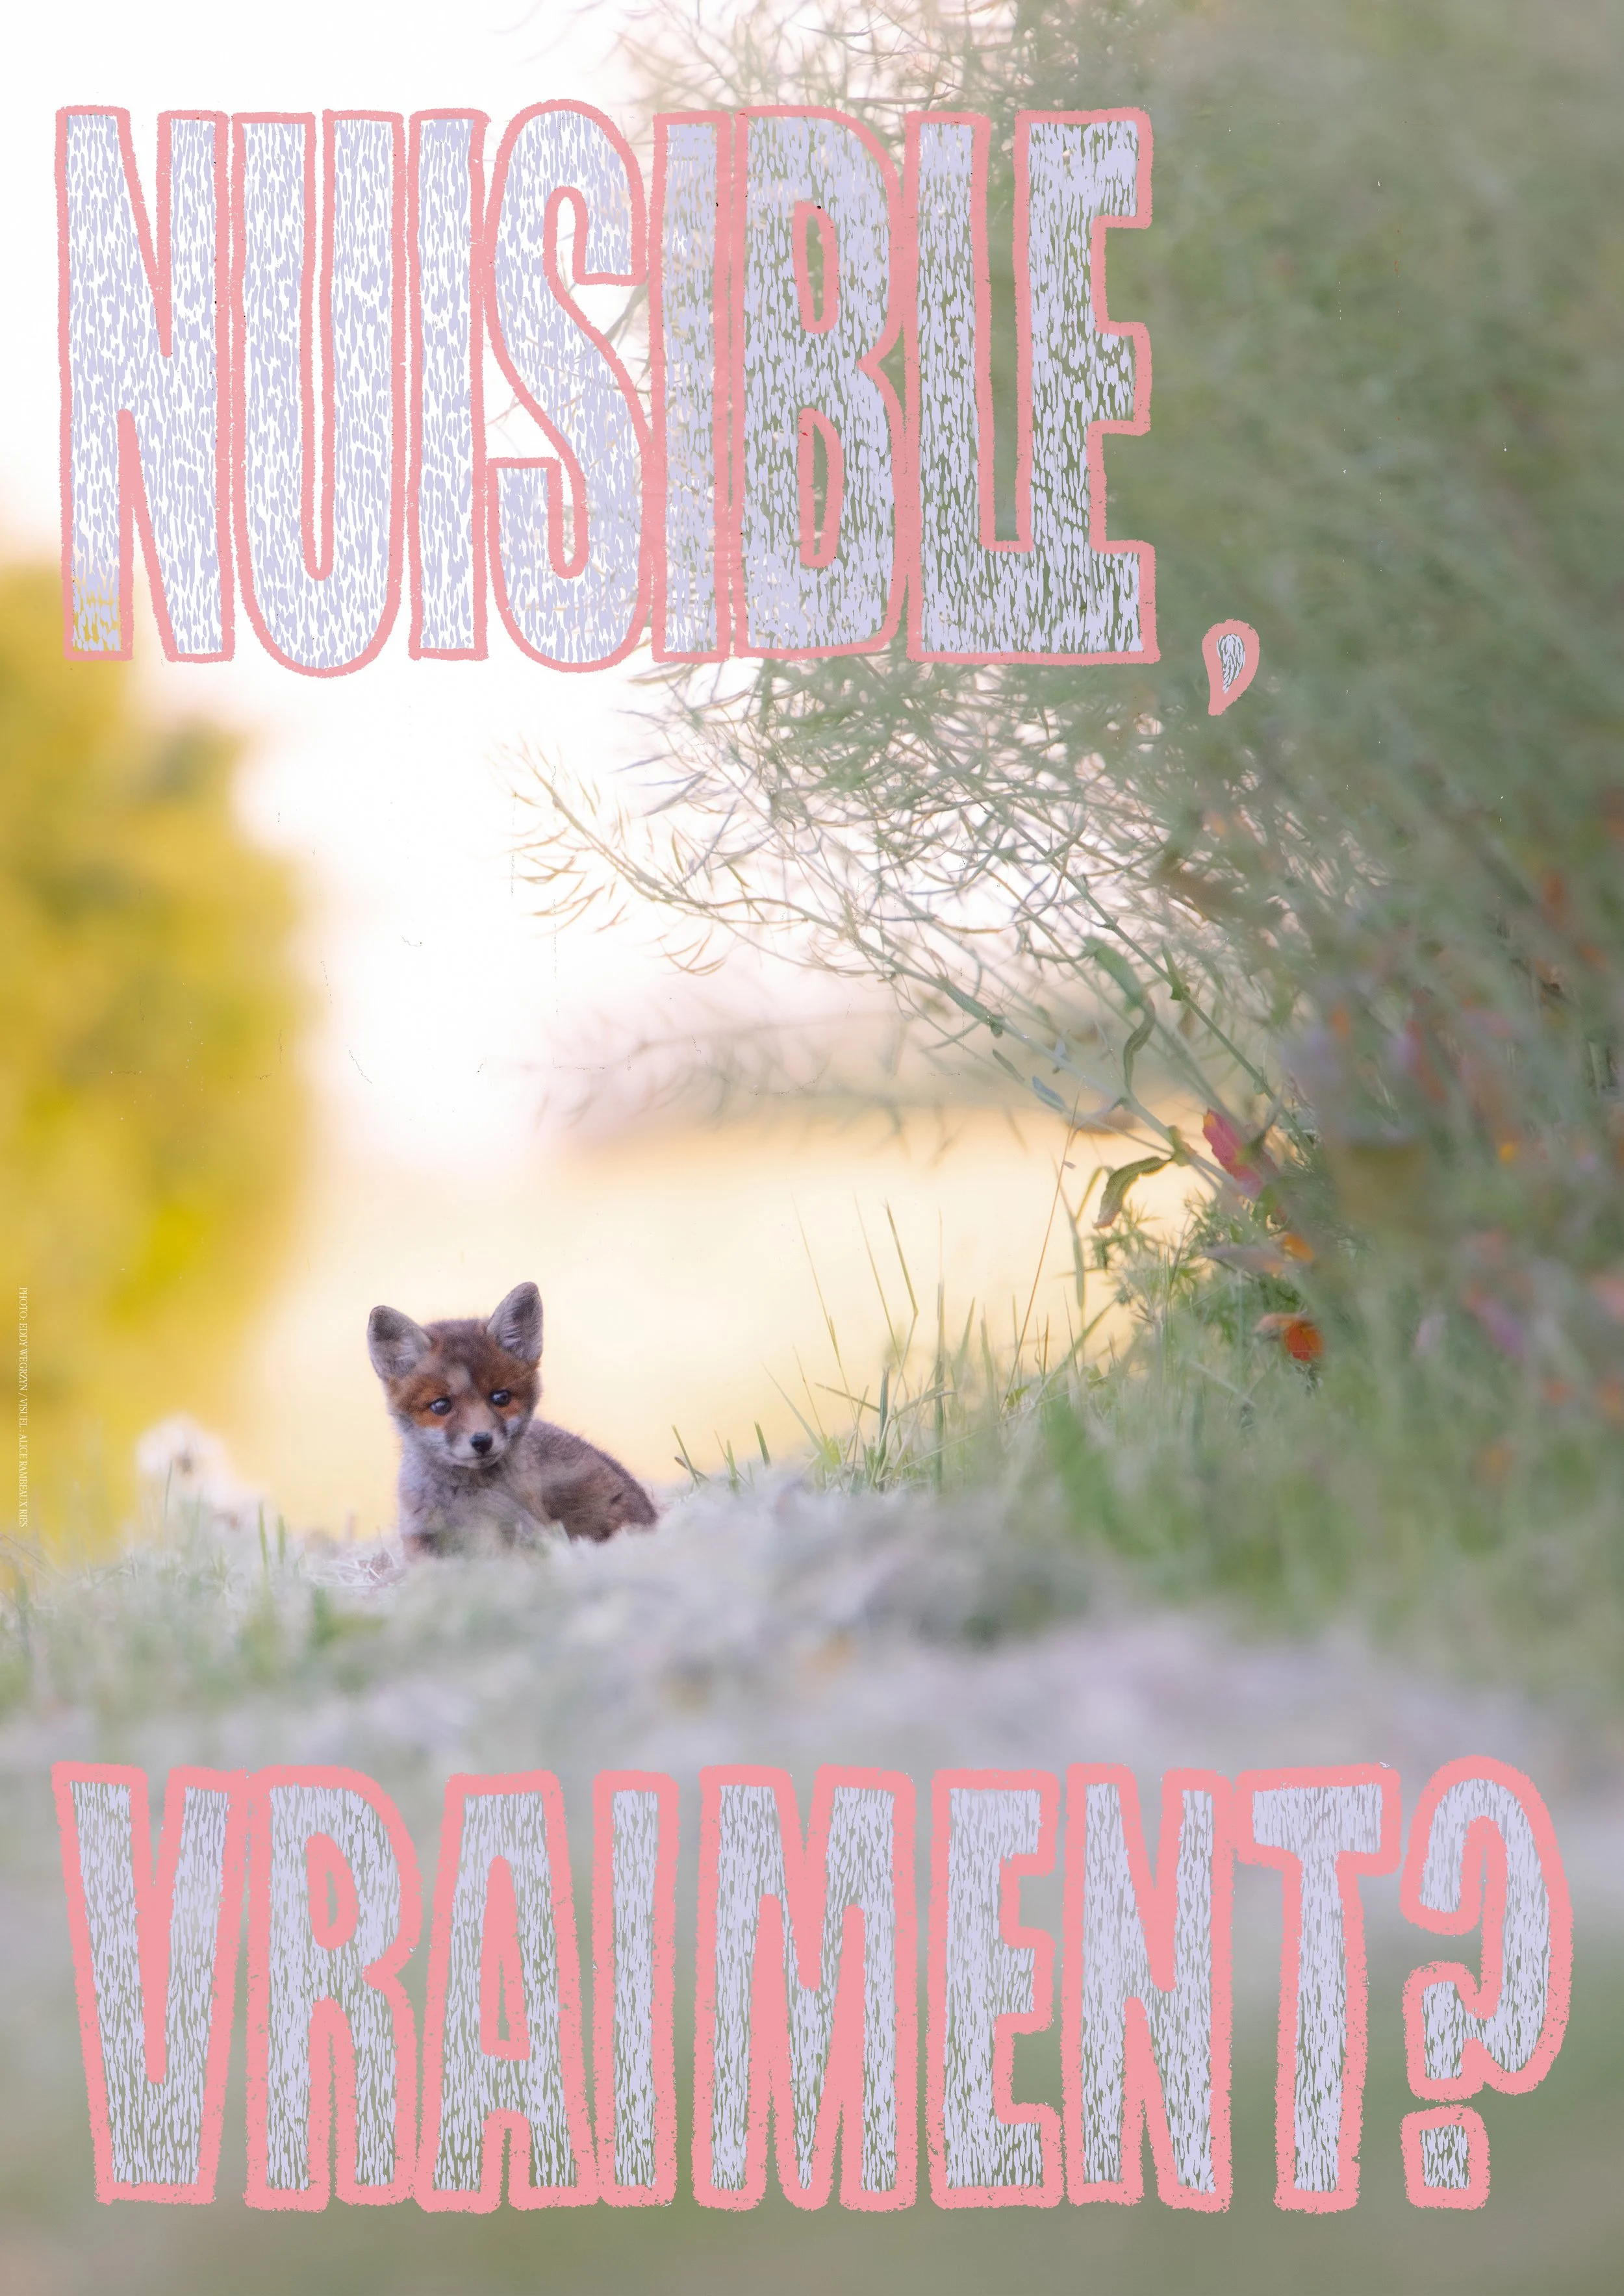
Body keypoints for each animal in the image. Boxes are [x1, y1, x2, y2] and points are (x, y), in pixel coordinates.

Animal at [366, 1280, 657, 1556]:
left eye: (501, 1397)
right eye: (440, 1406)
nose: (482, 1441)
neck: (465, 1502)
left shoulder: (524, 1533)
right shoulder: (420, 1537)